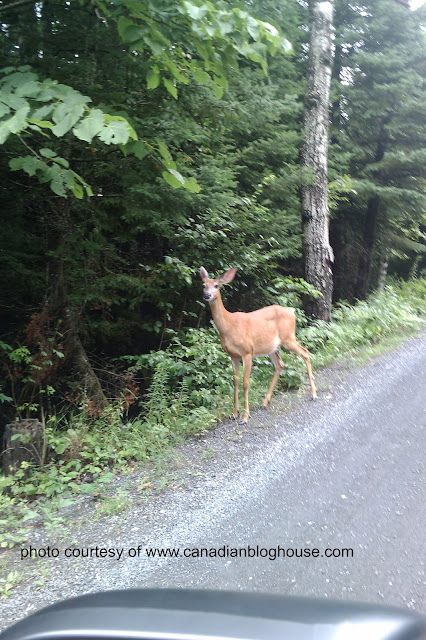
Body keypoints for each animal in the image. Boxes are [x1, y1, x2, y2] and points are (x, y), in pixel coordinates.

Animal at [200, 266, 316, 424]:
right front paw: (234, 413)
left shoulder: (247, 351)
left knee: (305, 353)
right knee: (280, 364)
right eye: (203, 285)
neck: (229, 327)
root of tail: (291, 311)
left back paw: (314, 394)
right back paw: (265, 401)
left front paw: (244, 416)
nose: (207, 295)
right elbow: (235, 382)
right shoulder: (232, 355)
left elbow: (245, 383)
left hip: (288, 337)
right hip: (273, 347)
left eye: (216, 285)